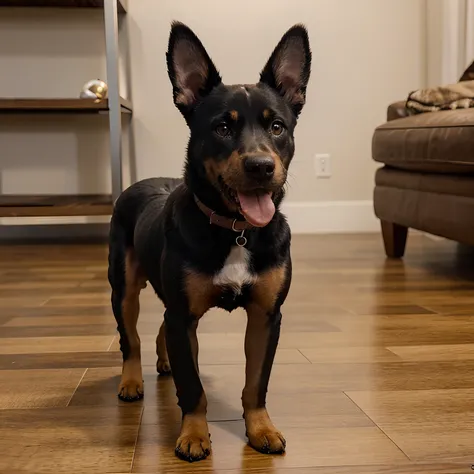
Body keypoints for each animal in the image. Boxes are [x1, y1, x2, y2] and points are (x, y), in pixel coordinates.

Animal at [107, 22, 312, 462]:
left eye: (277, 127)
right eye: (222, 127)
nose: (261, 166)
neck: (235, 229)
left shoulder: (266, 316)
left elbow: (256, 383)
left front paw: (261, 428)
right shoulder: (184, 316)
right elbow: (193, 387)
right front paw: (193, 435)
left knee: (157, 330)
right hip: (124, 287)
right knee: (130, 339)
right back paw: (131, 381)